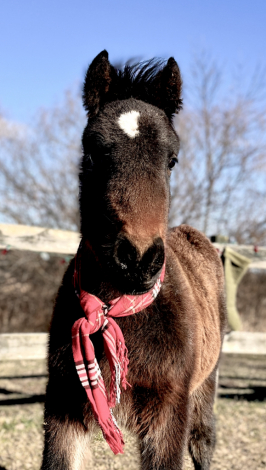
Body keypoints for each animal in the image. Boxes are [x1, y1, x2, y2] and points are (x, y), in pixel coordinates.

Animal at [41, 50, 227, 470]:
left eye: (172, 160)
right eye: (92, 154)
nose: (138, 259)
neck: (116, 310)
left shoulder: (169, 412)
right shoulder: (64, 408)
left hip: (205, 385)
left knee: (203, 442)